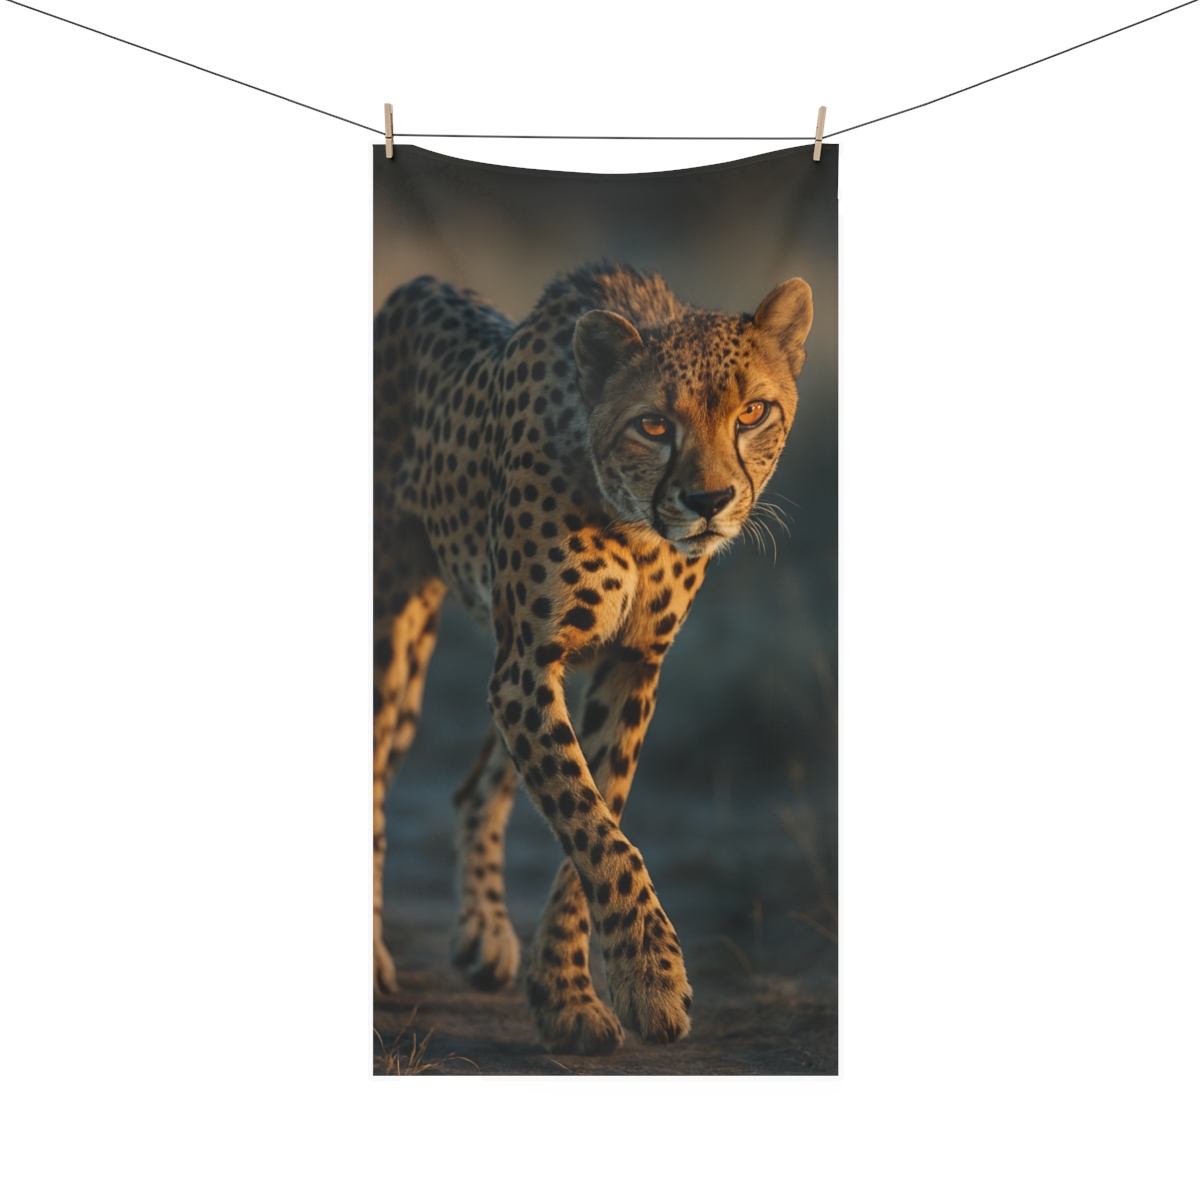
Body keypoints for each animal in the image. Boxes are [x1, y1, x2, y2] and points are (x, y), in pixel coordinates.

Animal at [373, 263, 813, 1054]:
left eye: (754, 412)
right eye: (654, 425)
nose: (709, 500)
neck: (633, 520)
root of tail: (412, 284)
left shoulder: (625, 665)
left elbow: (598, 811)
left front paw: (569, 993)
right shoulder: (527, 665)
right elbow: (592, 823)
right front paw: (651, 978)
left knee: (476, 784)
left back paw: (484, 934)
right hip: (395, 631)